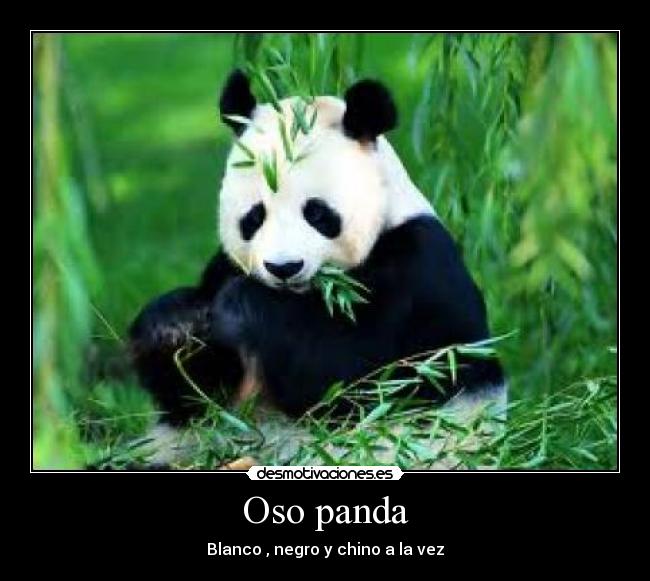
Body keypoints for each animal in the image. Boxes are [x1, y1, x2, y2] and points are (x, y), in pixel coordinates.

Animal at [128, 69, 506, 467]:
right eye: (254, 217)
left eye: (318, 213)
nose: (284, 267)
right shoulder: (225, 266)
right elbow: (199, 395)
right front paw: (174, 324)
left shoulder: (418, 271)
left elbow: (351, 376)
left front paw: (243, 305)